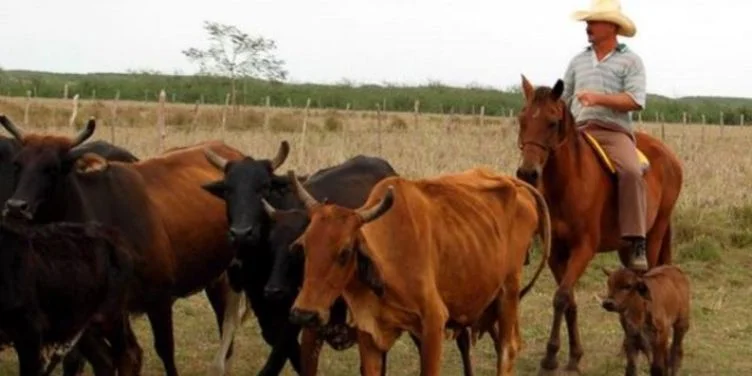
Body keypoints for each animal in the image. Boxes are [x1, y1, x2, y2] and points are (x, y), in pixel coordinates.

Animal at [0, 220, 138, 376]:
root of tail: (114, 235)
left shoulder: (30, 328)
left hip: (110, 315)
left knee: (128, 354)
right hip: (83, 323)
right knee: (104, 359)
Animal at [278, 168, 552, 376]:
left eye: (345, 252)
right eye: (304, 247)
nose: (304, 314)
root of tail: (515, 184)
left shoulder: (433, 323)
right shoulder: (370, 333)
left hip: (509, 291)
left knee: (508, 349)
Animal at [516, 75, 684, 374]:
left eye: (552, 122)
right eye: (522, 119)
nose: (527, 173)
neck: (568, 183)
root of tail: (669, 156)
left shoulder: (583, 249)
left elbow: (561, 297)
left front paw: (550, 356)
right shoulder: (556, 253)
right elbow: (569, 300)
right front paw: (573, 355)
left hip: (654, 235)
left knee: (646, 280)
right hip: (626, 245)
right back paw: (627, 345)